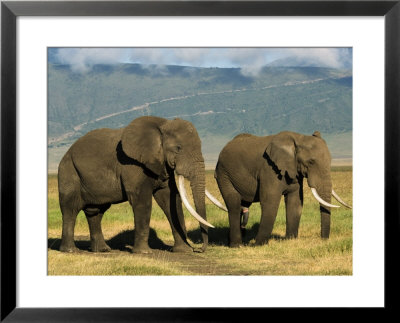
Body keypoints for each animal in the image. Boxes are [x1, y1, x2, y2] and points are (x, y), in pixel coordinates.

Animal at [57, 115, 222, 254]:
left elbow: (170, 199)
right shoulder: (132, 164)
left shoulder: (161, 164)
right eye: (178, 148)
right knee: (70, 209)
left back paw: (103, 250)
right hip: (69, 172)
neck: (162, 124)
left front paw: (184, 251)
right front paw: (144, 253)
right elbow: (142, 201)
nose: (199, 249)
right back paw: (70, 251)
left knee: (96, 212)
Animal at [216, 130, 350, 247]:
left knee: (241, 205)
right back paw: (237, 245)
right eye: (311, 162)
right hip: (223, 174)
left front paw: (290, 240)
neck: (299, 138)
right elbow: (270, 201)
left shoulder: (294, 171)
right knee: (233, 203)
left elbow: (295, 202)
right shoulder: (269, 169)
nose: (323, 239)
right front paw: (258, 245)